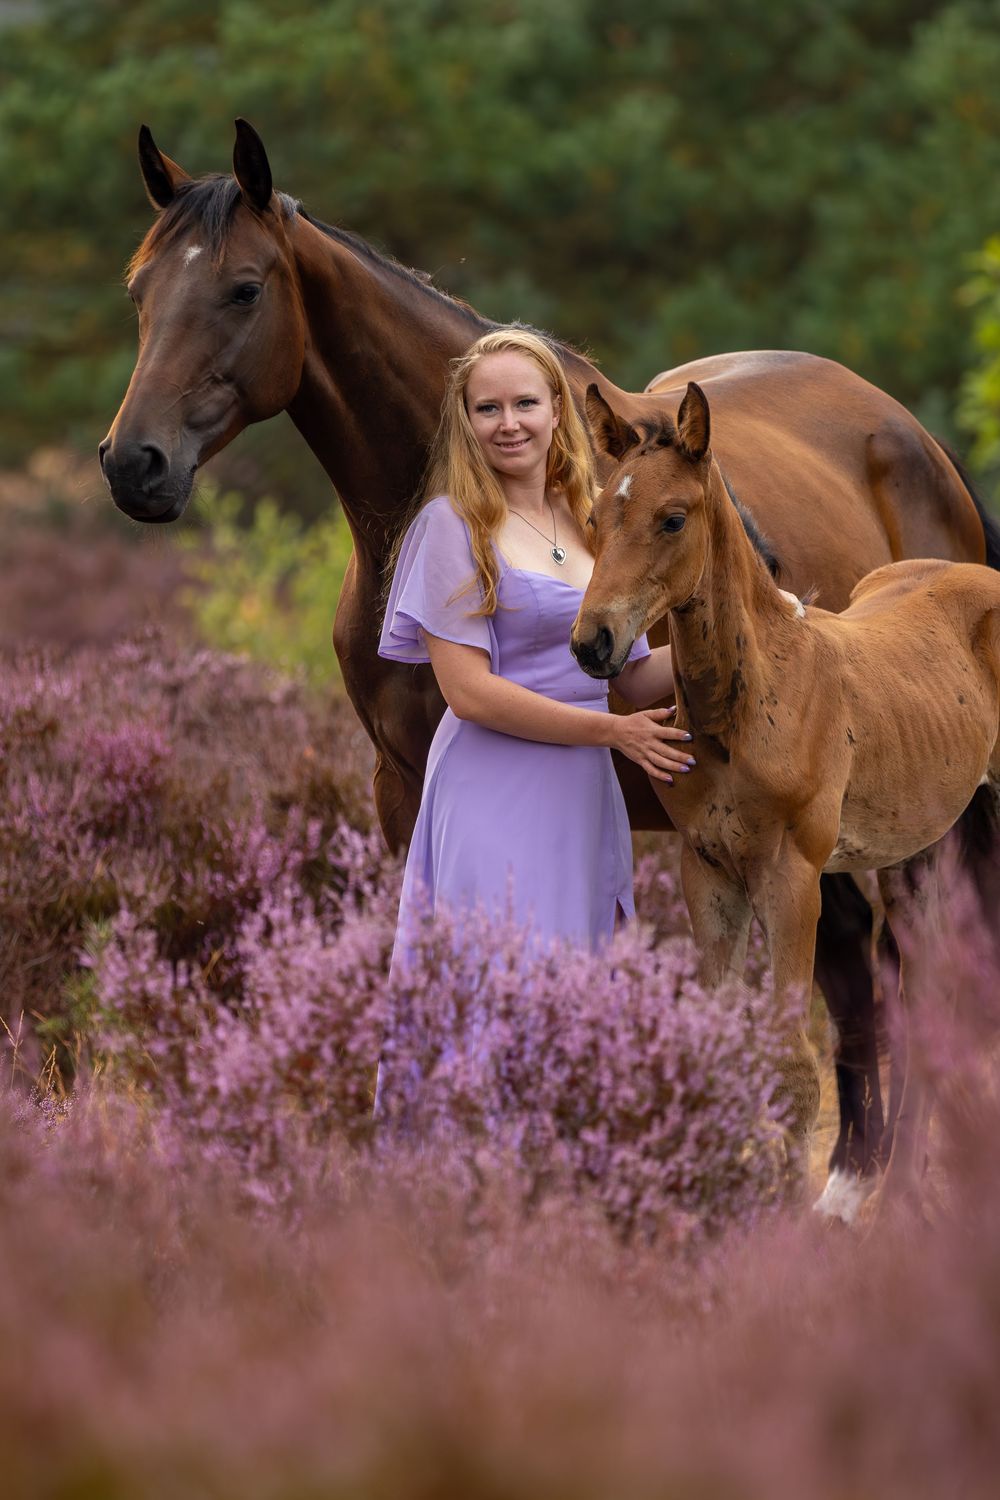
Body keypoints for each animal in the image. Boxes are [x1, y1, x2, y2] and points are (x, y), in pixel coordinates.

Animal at [572, 381, 1000, 1209]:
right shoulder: (707, 870)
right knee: (930, 985)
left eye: (673, 518)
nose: (592, 643)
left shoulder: (794, 874)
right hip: (919, 840)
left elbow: (792, 1061)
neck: (760, 690)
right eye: (596, 517)